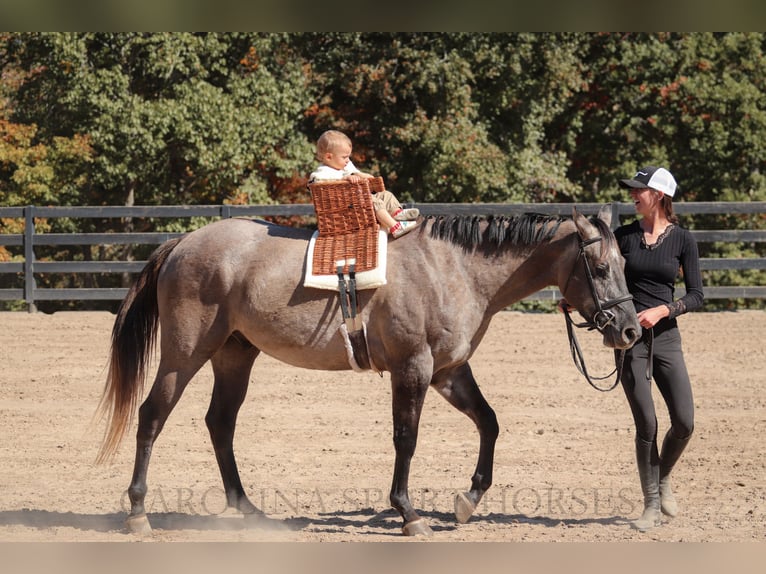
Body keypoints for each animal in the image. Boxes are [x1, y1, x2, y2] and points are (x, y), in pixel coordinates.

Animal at [96, 208, 640, 540]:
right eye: (598, 267)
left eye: (623, 263)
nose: (630, 330)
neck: (453, 269)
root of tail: (184, 241)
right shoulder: (413, 368)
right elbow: (406, 438)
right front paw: (408, 514)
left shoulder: (449, 371)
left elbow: (489, 422)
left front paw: (467, 500)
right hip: (184, 354)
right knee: (152, 416)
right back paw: (138, 513)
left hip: (235, 355)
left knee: (220, 423)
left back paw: (246, 508)